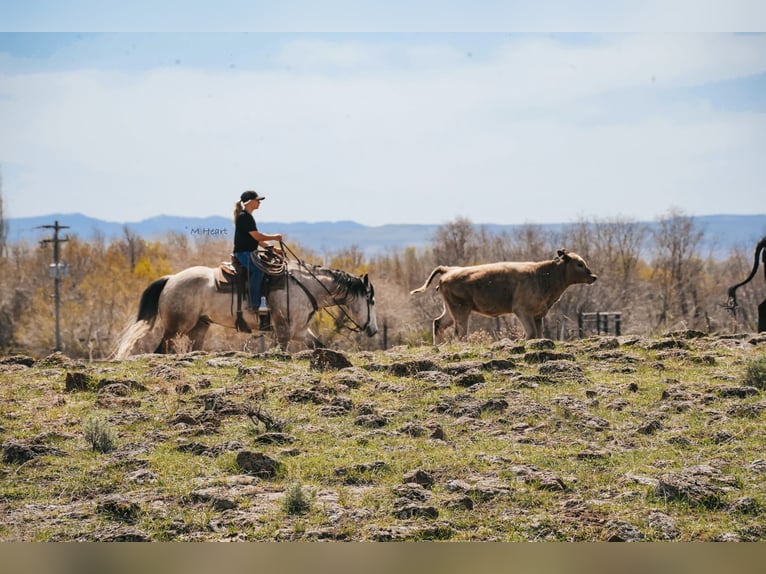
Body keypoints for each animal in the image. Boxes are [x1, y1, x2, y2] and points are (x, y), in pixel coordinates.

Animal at [114, 260, 378, 357]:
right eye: (371, 301)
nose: (373, 330)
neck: (305, 286)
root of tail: (171, 279)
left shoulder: (300, 331)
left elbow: (319, 345)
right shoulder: (284, 330)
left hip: (199, 327)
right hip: (176, 328)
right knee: (161, 349)